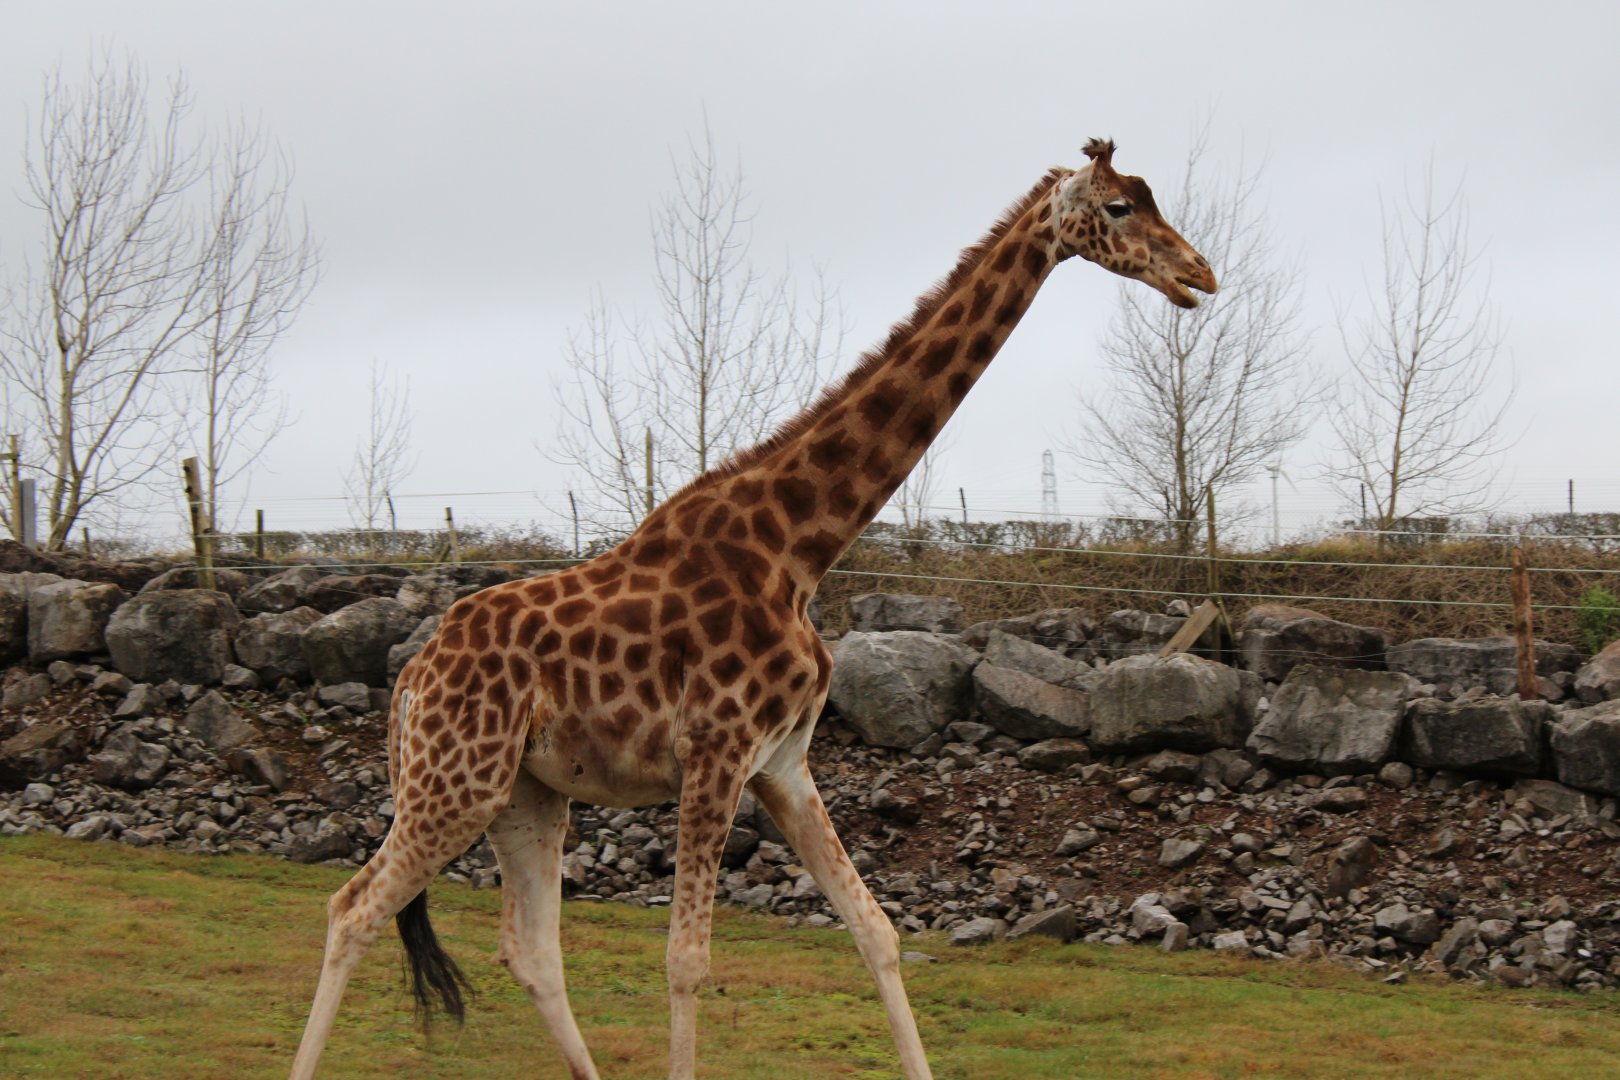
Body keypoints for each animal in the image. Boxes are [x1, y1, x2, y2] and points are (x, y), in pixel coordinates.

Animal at [289, 137, 1215, 1080]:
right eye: (1118, 208)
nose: (1200, 275)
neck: (798, 550)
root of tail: (411, 675)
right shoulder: (715, 750)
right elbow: (687, 961)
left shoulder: (784, 764)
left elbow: (876, 933)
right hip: (456, 779)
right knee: (352, 909)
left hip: (526, 793)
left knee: (531, 948)